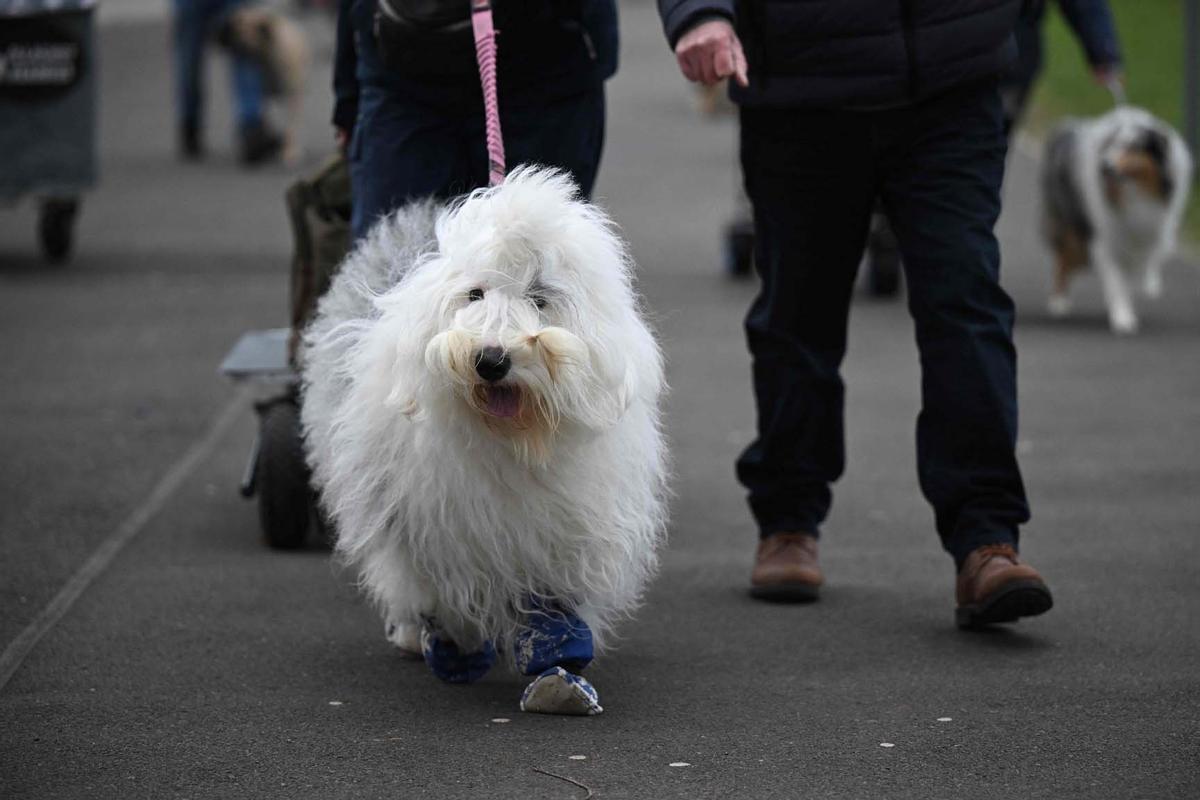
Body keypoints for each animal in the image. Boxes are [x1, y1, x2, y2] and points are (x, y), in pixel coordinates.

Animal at [298, 167, 667, 714]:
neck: (510, 440)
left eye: (539, 297)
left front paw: (558, 674)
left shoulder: (559, 523)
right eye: (475, 295)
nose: (491, 360)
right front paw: (456, 645)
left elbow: (549, 603)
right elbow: (441, 586)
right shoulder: (428, 518)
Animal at [1041, 106, 1190, 331]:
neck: (1135, 194)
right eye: (1112, 144)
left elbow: (1128, 279)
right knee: (1064, 260)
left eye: (1133, 146)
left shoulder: (1141, 240)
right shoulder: (1106, 238)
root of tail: (1066, 128)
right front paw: (1123, 317)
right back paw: (1059, 302)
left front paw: (1123, 308)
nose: (1104, 166)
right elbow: (1116, 278)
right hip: (1073, 230)